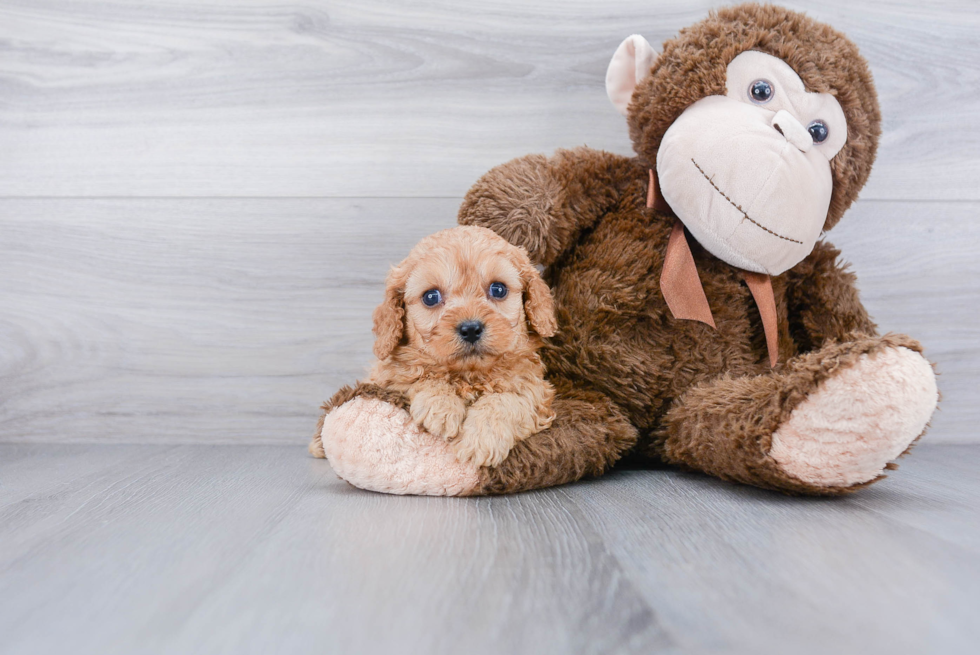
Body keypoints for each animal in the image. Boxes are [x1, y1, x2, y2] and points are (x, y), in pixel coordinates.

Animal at [364, 226, 560, 466]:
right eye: (431, 297)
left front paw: (482, 439)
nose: (471, 329)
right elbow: (419, 375)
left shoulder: (535, 390)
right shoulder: (385, 378)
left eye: (498, 289)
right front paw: (441, 408)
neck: (470, 375)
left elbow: (507, 399)